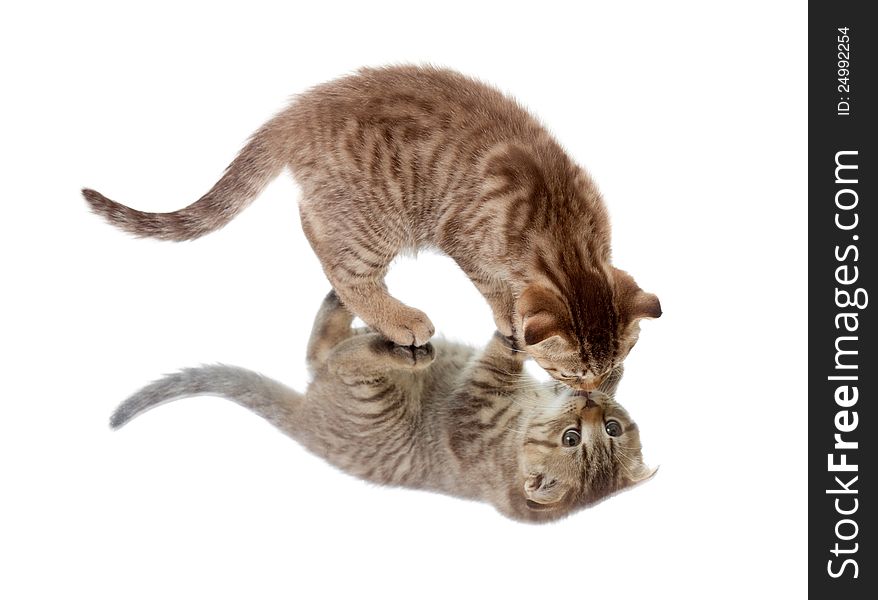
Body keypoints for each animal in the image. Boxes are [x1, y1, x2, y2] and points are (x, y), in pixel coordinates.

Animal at [86, 64, 664, 390]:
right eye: (571, 373)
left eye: (616, 365)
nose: (593, 394)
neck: (562, 231)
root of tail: (297, 113)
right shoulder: (468, 241)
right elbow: (496, 288)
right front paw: (508, 317)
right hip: (378, 220)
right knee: (345, 269)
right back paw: (396, 317)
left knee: (313, 226)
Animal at [111, 292, 652, 524]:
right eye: (611, 428)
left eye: (572, 440)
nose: (588, 410)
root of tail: (306, 420)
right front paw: (604, 368)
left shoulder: (471, 409)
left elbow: (497, 360)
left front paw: (515, 330)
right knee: (321, 350)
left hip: (372, 399)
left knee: (338, 357)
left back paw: (393, 344)